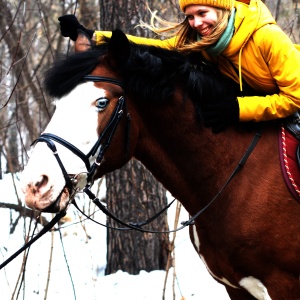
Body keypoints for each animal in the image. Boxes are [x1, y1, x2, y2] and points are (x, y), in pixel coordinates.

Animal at [20, 28, 300, 300]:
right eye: (58, 104)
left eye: (101, 102)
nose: (35, 185)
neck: (236, 180)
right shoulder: (236, 288)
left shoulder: (283, 286)